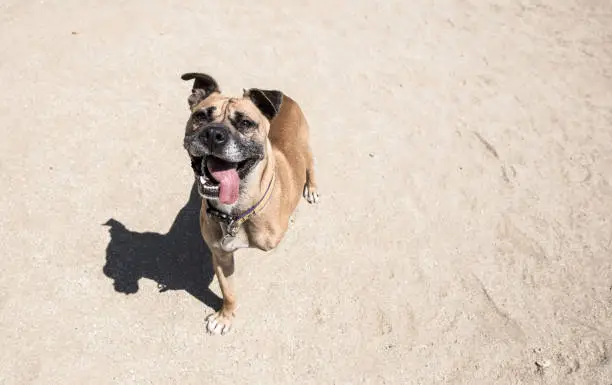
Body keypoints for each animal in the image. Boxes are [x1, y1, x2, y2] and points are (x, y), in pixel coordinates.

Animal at [180, 72, 320, 332]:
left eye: (245, 123)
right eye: (201, 116)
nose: (214, 134)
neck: (236, 214)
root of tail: (286, 98)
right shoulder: (221, 255)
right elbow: (229, 292)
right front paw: (225, 317)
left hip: (306, 148)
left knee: (311, 165)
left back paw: (312, 188)